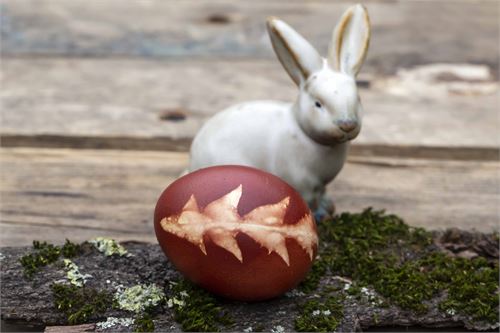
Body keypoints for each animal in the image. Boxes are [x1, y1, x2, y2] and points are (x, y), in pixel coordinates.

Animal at [188, 4, 372, 215]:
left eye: (358, 99)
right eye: (318, 103)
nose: (347, 125)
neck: (305, 133)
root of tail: (192, 163)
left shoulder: (321, 185)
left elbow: (322, 194)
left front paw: (329, 207)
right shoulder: (303, 182)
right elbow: (310, 200)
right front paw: (318, 214)